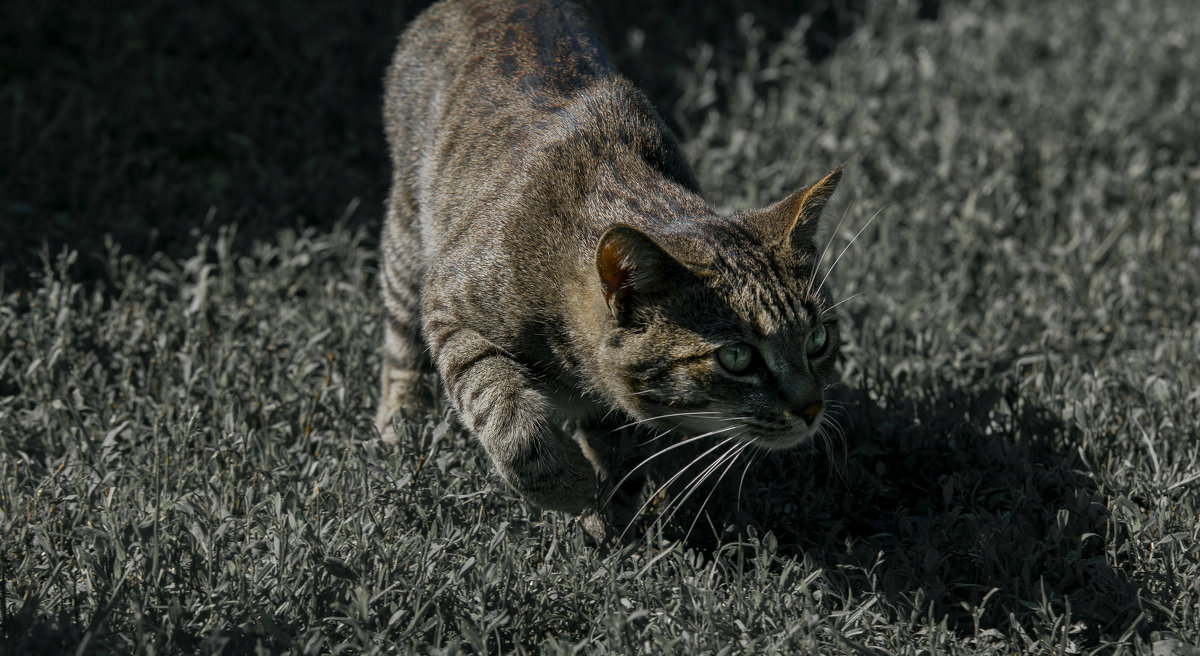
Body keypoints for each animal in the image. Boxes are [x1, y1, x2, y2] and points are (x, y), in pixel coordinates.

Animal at [374, 0, 844, 532]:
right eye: (738, 358)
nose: (812, 407)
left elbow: (620, 446)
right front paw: (568, 485)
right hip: (407, 239)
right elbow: (498, 404)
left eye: (818, 339)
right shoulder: (447, 302)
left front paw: (612, 511)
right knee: (401, 341)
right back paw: (402, 419)